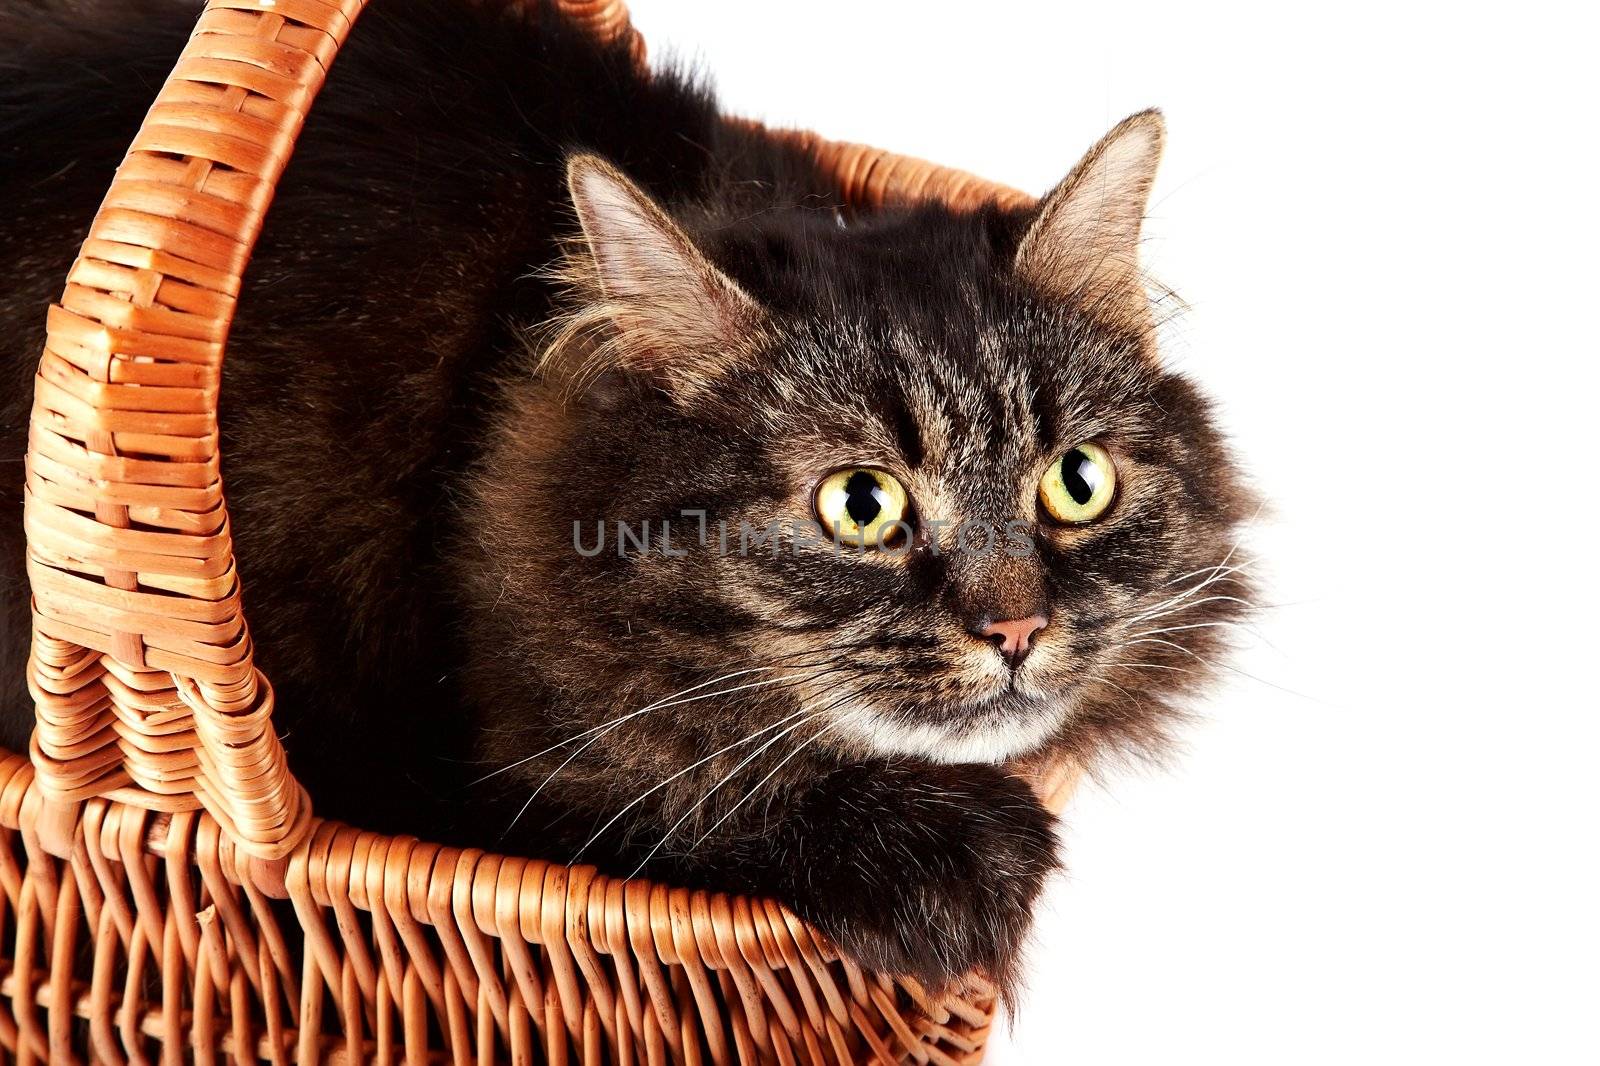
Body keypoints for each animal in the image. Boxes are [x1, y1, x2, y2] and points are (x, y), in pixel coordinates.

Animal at [0, 0, 1248, 985]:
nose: (1017, 628)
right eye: (861, 504)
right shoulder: (468, 782)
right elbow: (673, 802)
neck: (509, 427)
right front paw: (955, 865)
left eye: (1074, 482)